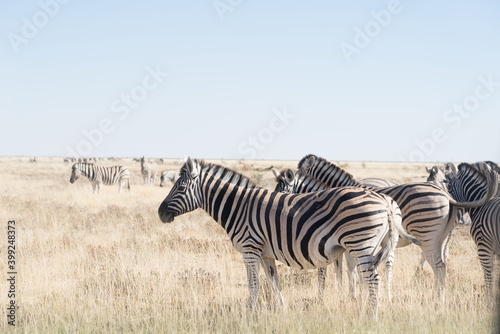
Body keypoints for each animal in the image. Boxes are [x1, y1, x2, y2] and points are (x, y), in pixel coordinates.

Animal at [159, 157, 402, 316]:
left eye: (180, 188)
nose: (160, 213)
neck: (239, 206)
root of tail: (384, 201)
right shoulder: (265, 253)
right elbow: (273, 282)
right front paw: (282, 311)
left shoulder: (249, 249)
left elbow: (253, 284)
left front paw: (250, 313)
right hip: (368, 247)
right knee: (371, 277)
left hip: (360, 244)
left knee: (373, 279)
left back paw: (370, 316)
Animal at [274, 168, 422, 302]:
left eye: (282, 191)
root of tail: (388, 204)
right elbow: (350, 268)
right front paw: (355, 294)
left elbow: (335, 270)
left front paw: (331, 296)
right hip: (390, 242)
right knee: (388, 266)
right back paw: (388, 297)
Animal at [296, 154, 496, 300]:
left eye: (290, 182)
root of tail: (447, 196)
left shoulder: (350, 239)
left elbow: (345, 269)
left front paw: (350, 296)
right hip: (442, 236)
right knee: (443, 262)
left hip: (427, 235)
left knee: (438, 265)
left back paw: (437, 300)